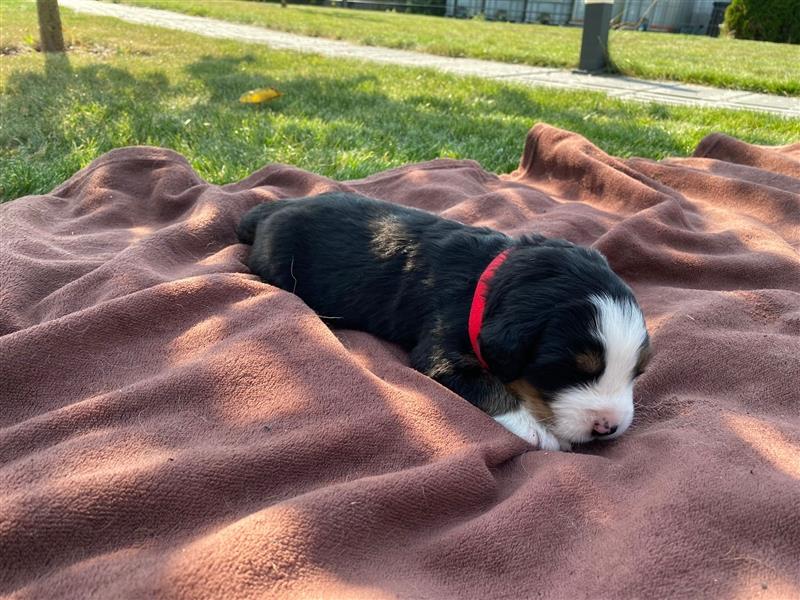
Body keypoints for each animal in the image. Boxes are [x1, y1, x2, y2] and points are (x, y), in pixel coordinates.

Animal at [238, 192, 648, 450]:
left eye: (637, 372)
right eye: (570, 371)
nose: (608, 426)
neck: (488, 278)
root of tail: (273, 209)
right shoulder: (443, 348)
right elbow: (490, 387)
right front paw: (536, 430)